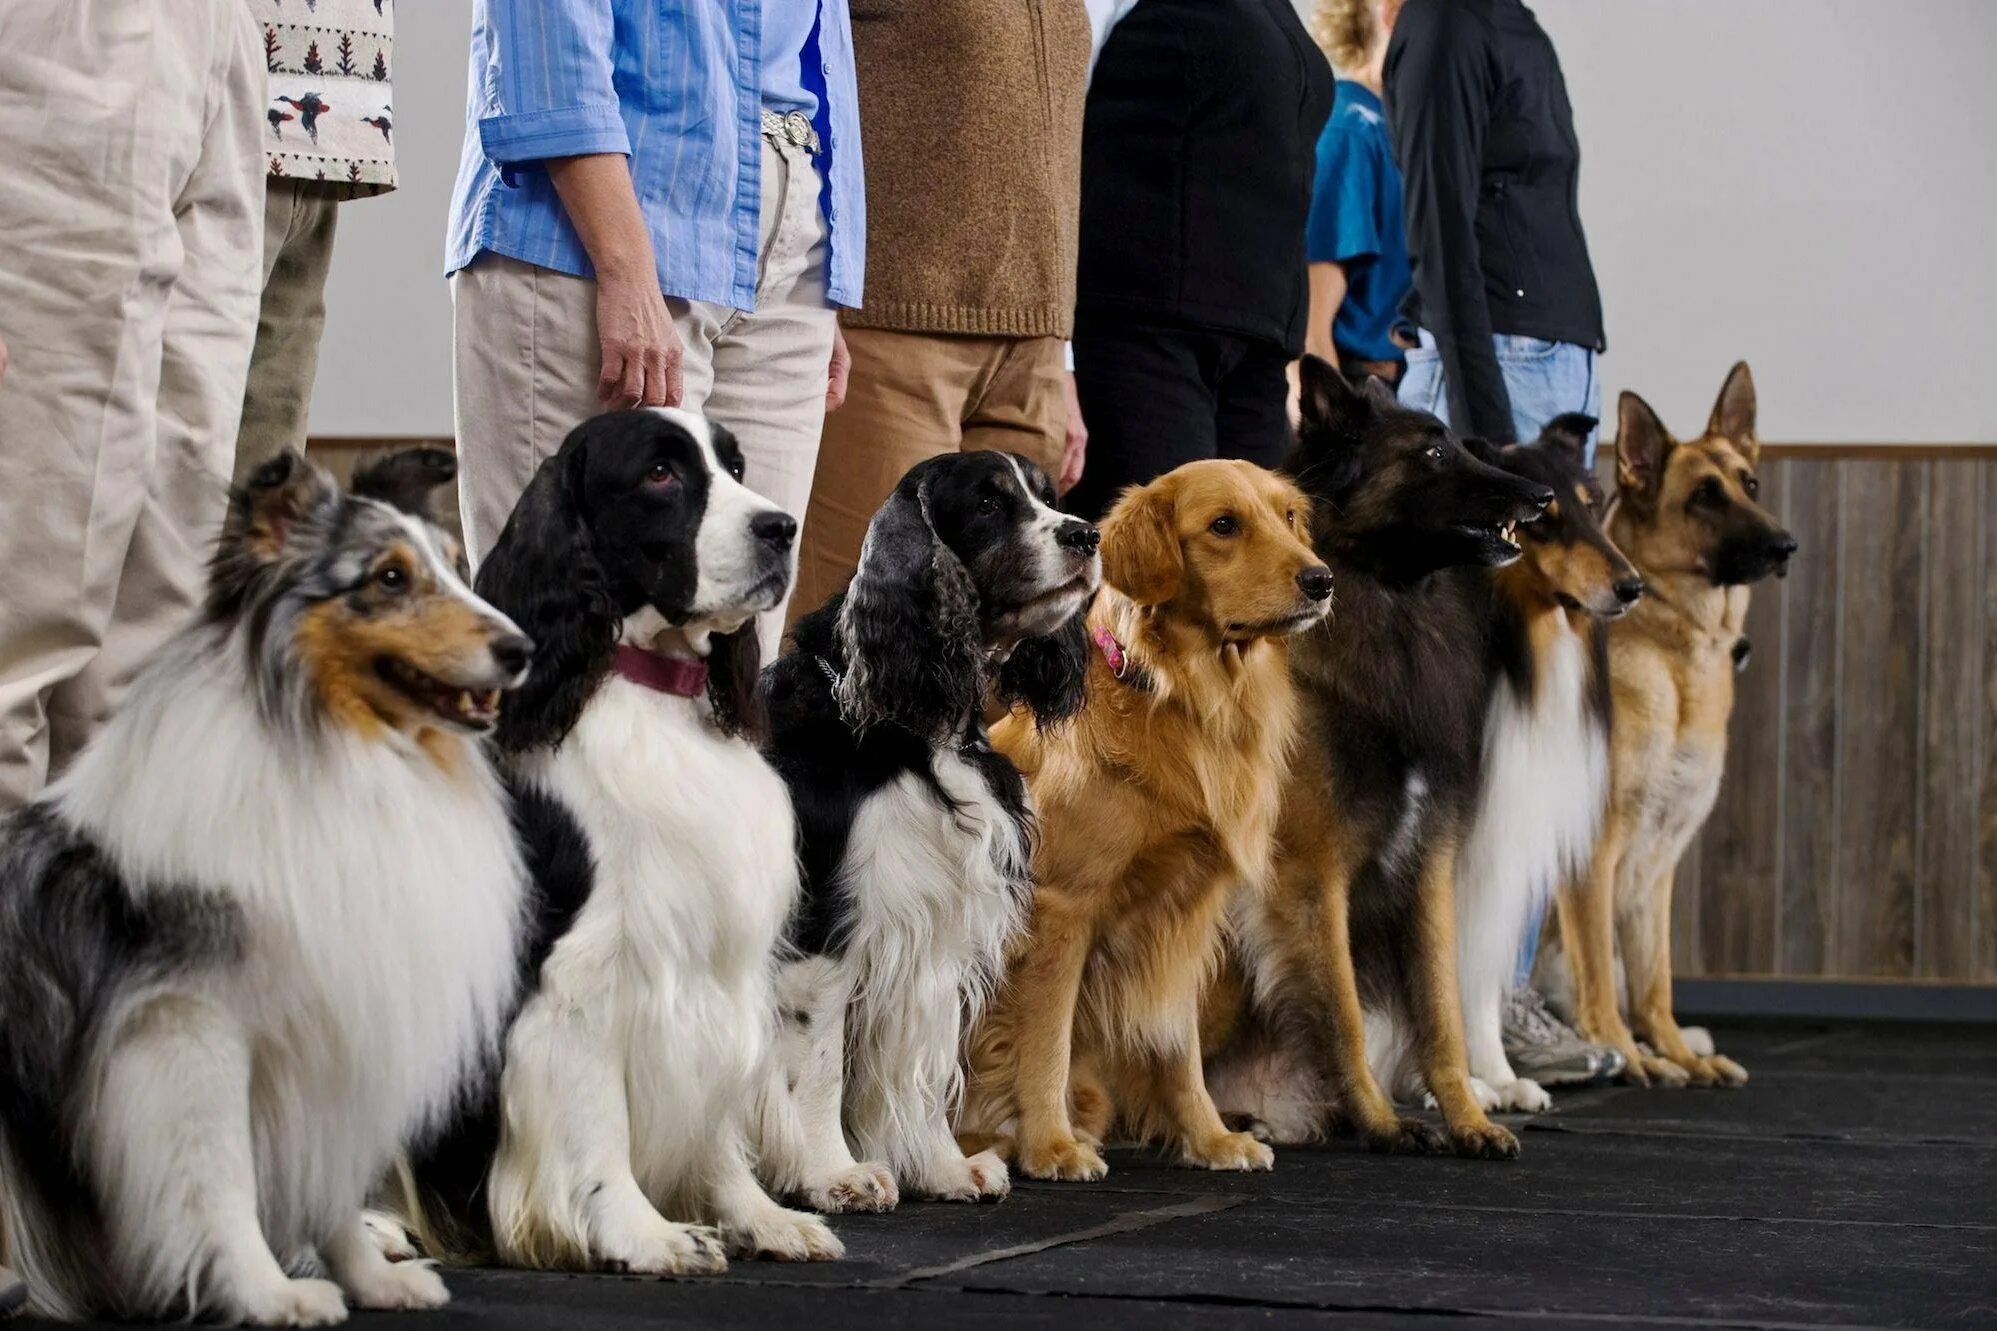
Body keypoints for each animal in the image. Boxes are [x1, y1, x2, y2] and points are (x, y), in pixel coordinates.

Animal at [1198, 357, 1541, 1159]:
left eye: (1463, 443)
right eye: (1433, 452)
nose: (1541, 496)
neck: (1388, 601)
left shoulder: (1428, 865)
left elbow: (1442, 1013)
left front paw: (1469, 1120)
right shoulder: (1310, 874)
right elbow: (1345, 1011)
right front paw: (1383, 1122)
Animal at [1533, 359, 1805, 1079]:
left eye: (1748, 484)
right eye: (1704, 497)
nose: (1785, 544)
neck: (1675, 651)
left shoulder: (1657, 862)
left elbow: (1654, 976)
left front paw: (1675, 1052)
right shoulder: (1593, 854)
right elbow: (1601, 974)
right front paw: (1631, 1056)